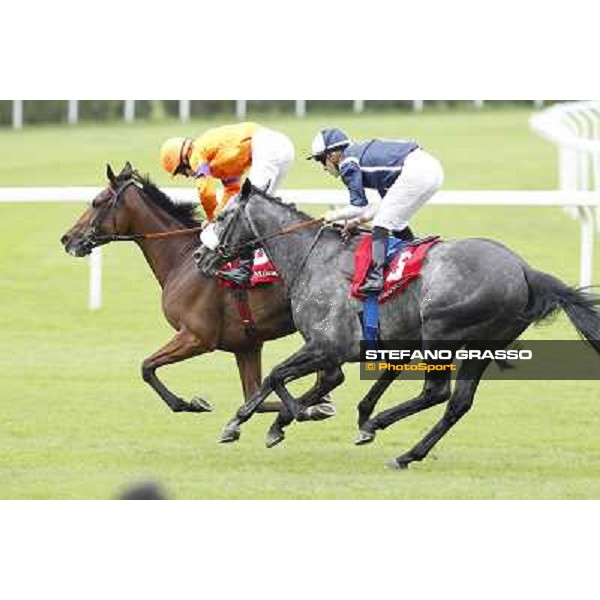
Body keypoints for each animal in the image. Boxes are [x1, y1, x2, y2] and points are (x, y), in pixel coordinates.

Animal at [61, 162, 332, 442]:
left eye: (96, 202)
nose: (67, 238)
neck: (181, 259)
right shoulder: (246, 345)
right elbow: (255, 395)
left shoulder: (197, 336)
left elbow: (146, 367)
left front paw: (191, 403)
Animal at [197, 180, 600, 472]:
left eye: (223, 216)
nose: (200, 255)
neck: (312, 259)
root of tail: (524, 270)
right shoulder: (336, 353)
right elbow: (301, 381)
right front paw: (264, 422)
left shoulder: (328, 345)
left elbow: (276, 375)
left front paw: (282, 416)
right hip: (483, 345)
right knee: (458, 402)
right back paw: (406, 451)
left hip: (441, 333)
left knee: (437, 392)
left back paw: (381, 427)